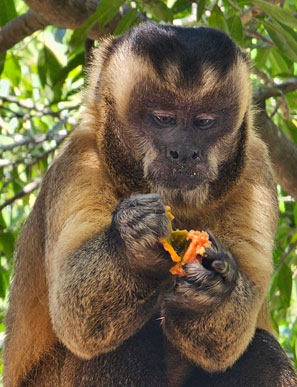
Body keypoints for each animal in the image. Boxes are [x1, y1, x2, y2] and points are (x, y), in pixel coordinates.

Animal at [2, 22, 296, 387]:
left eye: (204, 122)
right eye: (163, 119)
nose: (184, 152)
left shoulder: (255, 169)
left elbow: (225, 343)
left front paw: (210, 289)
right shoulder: (81, 159)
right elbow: (77, 318)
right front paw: (135, 247)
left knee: (262, 350)